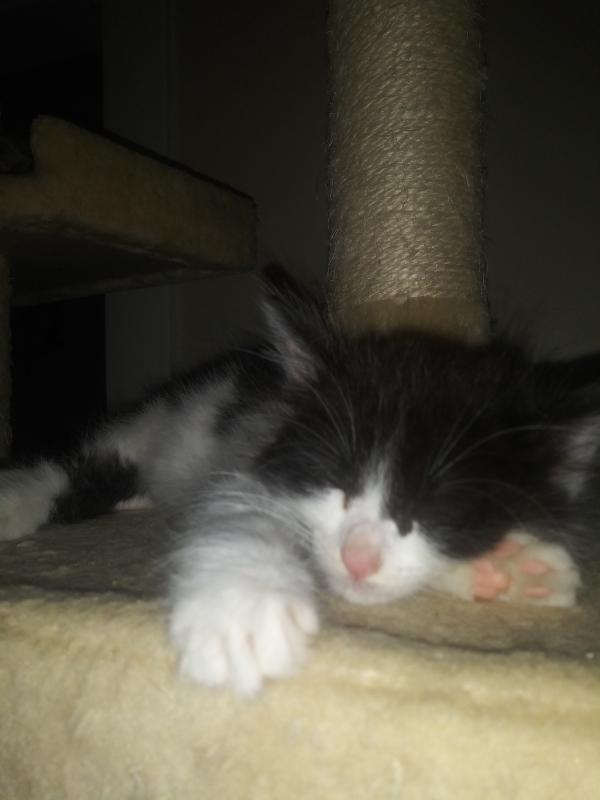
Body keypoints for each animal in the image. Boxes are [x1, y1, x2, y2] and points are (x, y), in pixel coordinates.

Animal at [0, 266, 597, 695]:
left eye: (435, 509)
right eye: (337, 480)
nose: (359, 558)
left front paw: (514, 567)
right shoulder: (253, 460)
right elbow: (241, 512)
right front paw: (242, 605)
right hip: (163, 418)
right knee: (87, 460)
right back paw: (18, 498)